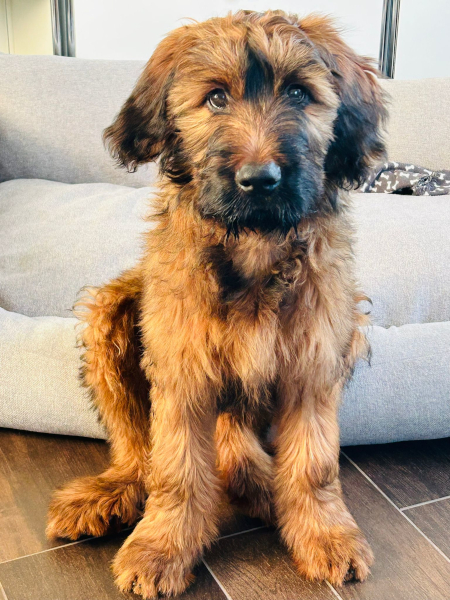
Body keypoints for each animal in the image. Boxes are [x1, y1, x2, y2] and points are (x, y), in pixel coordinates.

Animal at [46, 10, 387, 598]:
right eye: (215, 98)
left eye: (300, 93)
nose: (260, 180)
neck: (253, 244)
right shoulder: (180, 366)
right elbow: (175, 469)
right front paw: (161, 547)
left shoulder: (314, 359)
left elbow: (314, 463)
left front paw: (325, 534)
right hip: (112, 318)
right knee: (136, 448)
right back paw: (112, 492)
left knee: (236, 436)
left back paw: (259, 484)